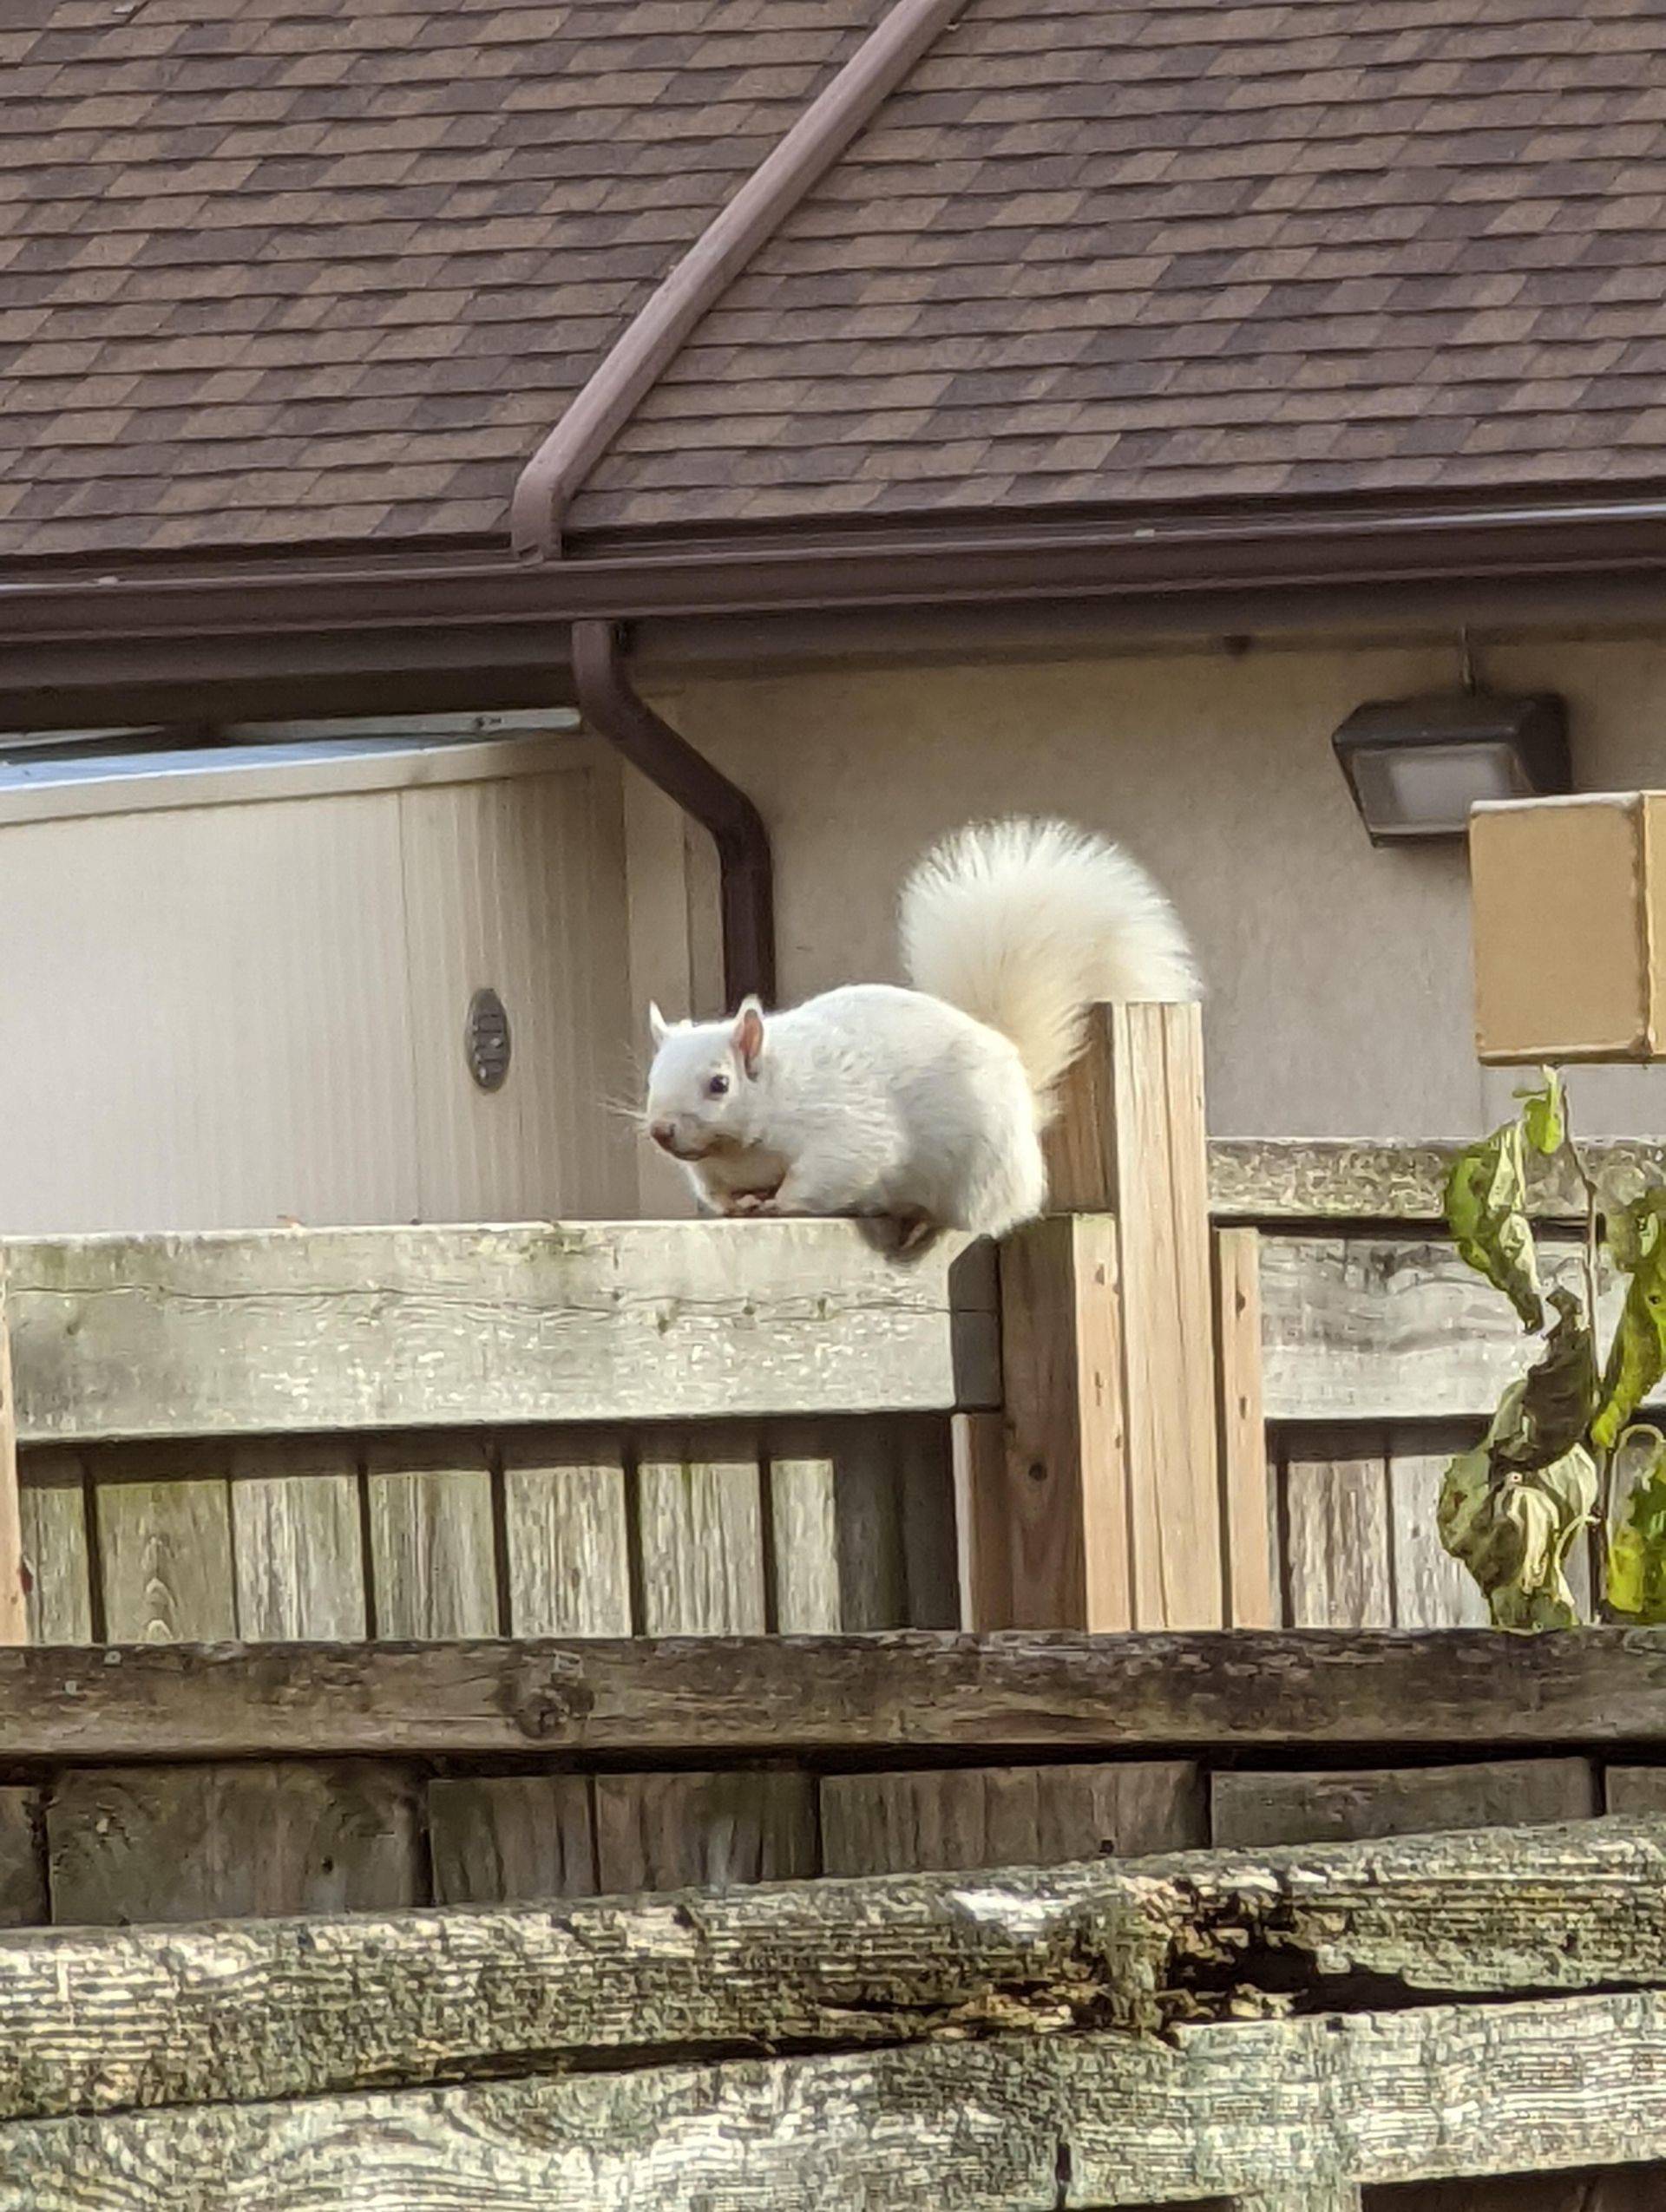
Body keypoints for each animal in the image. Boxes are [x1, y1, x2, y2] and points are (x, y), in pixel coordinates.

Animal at [637, 818, 1194, 1247]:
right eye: (650, 1080)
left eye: (719, 1084)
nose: (660, 1130)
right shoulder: (713, 1171)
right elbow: (719, 1192)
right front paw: (738, 1203)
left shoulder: (844, 1128)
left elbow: (831, 1172)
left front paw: (779, 1203)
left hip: (982, 1168)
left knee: (982, 1213)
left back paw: (925, 1222)